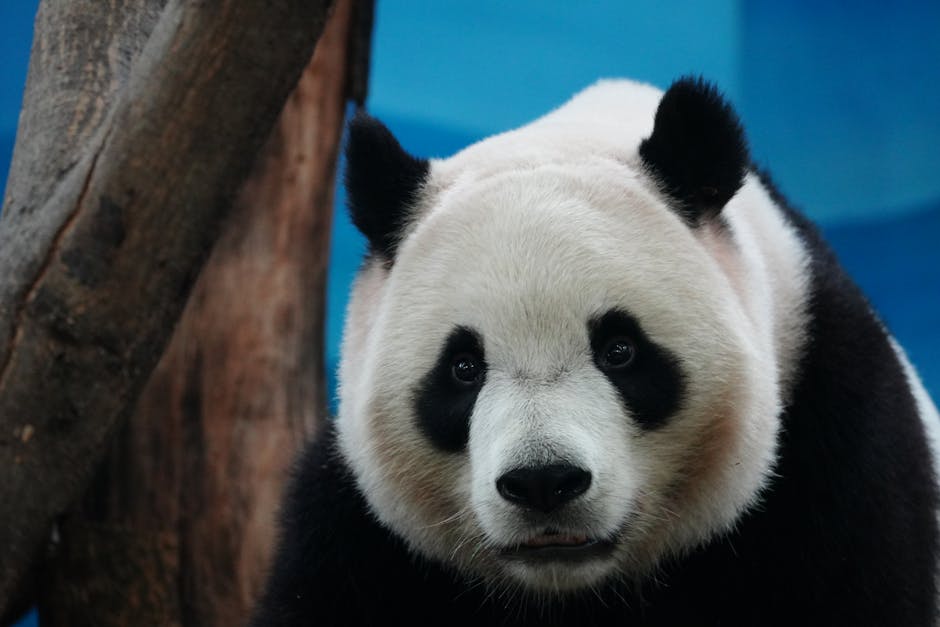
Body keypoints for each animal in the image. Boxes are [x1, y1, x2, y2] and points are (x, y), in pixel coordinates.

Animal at [251, 77, 940, 626]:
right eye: (463, 368)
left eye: (620, 350)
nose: (543, 481)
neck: (573, 588)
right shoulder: (359, 532)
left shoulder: (836, 455)